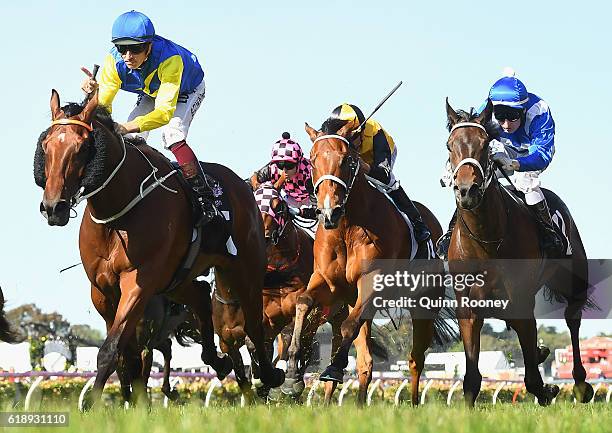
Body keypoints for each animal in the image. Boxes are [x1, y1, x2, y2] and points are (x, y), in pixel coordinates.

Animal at [33, 90, 282, 404]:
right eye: (46, 146)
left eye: (81, 148)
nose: (53, 207)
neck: (118, 213)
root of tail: (243, 185)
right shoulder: (101, 290)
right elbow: (126, 355)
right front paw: (129, 399)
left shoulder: (139, 283)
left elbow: (111, 350)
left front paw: (93, 404)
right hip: (176, 279)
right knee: (201, 295)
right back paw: (218, 360)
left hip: (244, 269)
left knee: (254, 325)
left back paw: (268, 375)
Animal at [284, 119, 452, 404]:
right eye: (313, 160)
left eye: (349, 160)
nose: (329, 211)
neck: (347, 227)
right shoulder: (328, 282)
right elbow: (303, 302)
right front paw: (292, 374)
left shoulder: (373, 281)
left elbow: (349, 326)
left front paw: (332, 369)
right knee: (365, 360)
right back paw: (359, 403)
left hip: (423, 304)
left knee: (416, 359)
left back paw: (414, 403)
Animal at [444, 99, 592, 404]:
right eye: (450, 145)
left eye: (485, 145)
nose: (466, 191)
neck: (486, 239)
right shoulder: (468, 305)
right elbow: (471, 377)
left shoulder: (521, 296)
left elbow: (534, 379)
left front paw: (548, 388)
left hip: (572, 279)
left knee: (573, 320)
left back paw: (581, 384)